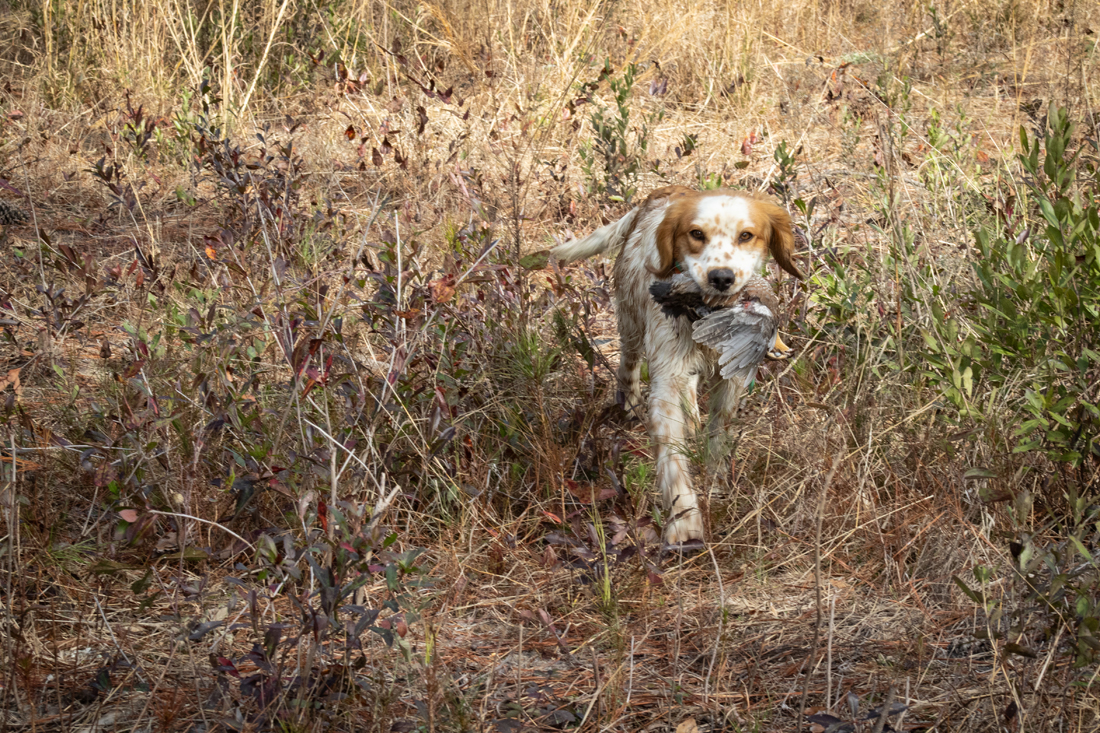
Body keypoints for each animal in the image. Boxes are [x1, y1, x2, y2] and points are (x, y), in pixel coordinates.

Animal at [554, 186, 805, 541]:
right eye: (696, 234)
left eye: (746, 235)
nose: (721, 278)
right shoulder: (666, 381)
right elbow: (672, 456)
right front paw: (684, 519)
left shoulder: (730, 382)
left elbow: (719, 432)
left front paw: (716, 482)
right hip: (631, 323)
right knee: (629, 366)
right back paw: (629, 403)